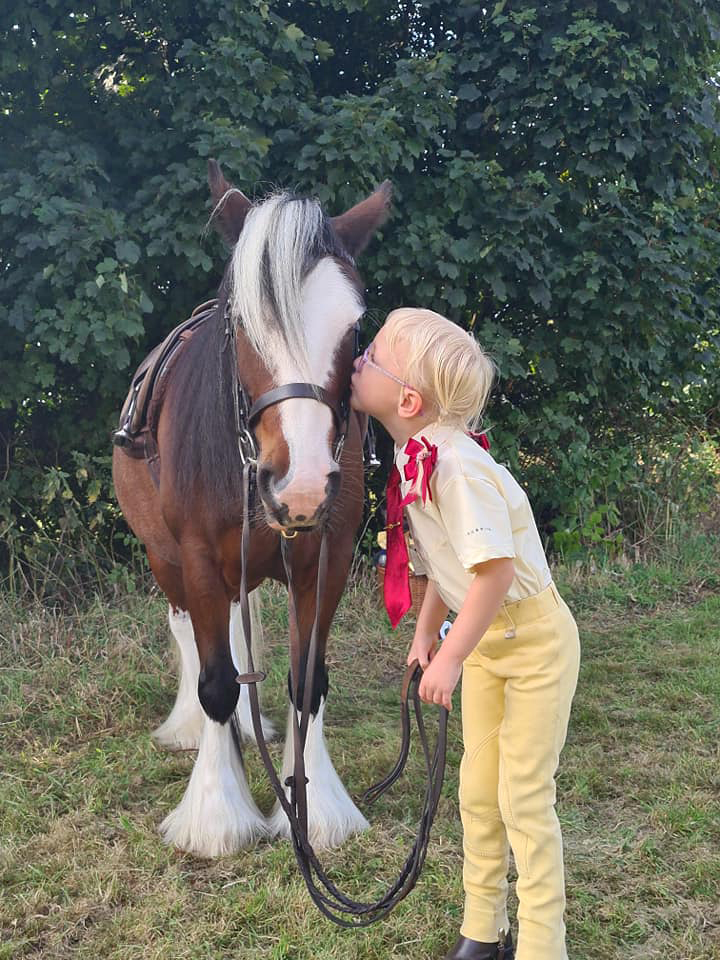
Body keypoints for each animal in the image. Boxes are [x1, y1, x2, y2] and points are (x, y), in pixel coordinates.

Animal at [113, 160, 391, 858]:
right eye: (242, 324)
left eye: (354, 325)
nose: (300, 486)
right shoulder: (195, 558)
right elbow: (214, 677)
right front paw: (217, 814)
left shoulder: (326, 561)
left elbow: (305, 682)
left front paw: (313, 806)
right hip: (165, 558)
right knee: (189, 631)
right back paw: (194, 730)